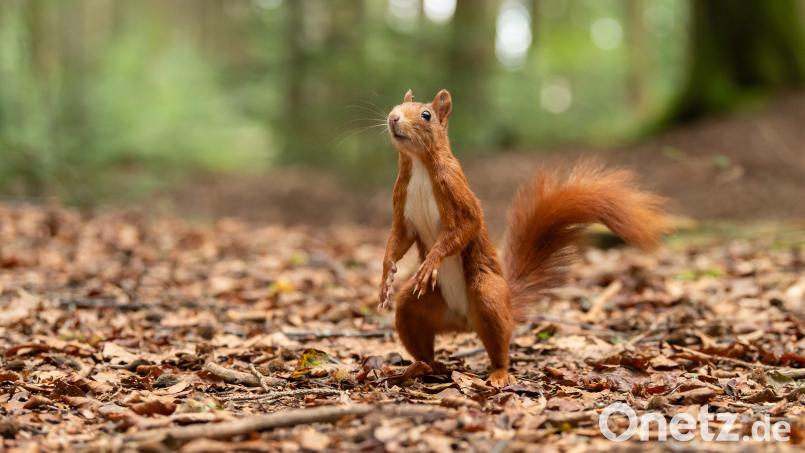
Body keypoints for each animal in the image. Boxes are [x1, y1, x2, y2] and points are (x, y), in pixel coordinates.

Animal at [379, 89, 670, 387]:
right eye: (396, 106)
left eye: (426, 115)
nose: (393, 117)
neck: (419, 166)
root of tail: (464, 321)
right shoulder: (403, 208)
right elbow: (398, 240)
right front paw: (386, 276)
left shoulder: (457, 191)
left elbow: (466, 227)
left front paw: (431, 262)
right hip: (416, 307)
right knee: (416, 330)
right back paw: (424, 366)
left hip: (487, 294)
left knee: (499, 344)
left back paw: (498, 373)